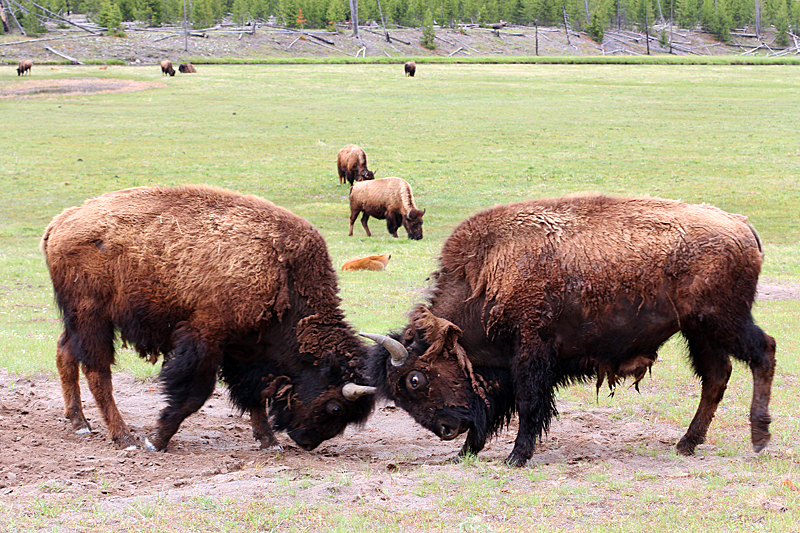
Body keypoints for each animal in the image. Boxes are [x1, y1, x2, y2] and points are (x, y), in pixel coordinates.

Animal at [43, 185, 378, 450]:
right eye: (336, 408)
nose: (308, 441)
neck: (285, 273)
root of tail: (60, 222)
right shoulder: (205, 337)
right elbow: (195, 394)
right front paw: (157, 440)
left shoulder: (246, 349)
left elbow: (254, 394)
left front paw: (269, 442)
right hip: (93, 315)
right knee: (97, 370)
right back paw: (124, 438)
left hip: (76, 318)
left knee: (65, 352)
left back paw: (80, 424)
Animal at [362, 194, 776, 466]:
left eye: (415, 380)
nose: (446, 429)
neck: (485, 278)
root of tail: (740, 224)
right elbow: (494, 410)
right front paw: (467, 453)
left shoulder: (531, 353)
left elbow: (528, 404)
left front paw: (516, 457)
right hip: (700, 332)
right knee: (716, 377)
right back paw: (686, 444)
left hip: (723, 322)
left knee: (763, 352)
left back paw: (759, 439)